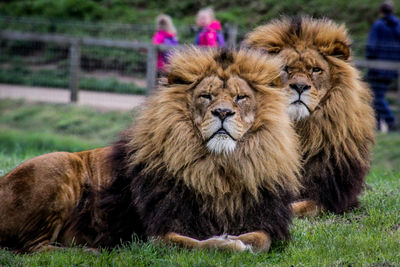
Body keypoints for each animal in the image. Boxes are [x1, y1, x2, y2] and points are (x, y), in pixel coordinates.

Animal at [0, 47, 300, 254]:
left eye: (240, 97)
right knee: (32, 248)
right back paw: (90, 251)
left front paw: (239, 240)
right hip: (58, 165)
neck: (217, 168)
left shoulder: (261, 219)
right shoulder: (156, 234)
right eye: (206, 96)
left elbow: (261, 239)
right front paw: (228, 243)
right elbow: (199, 244)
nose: (223, 112)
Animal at [244, 16, 376, 218]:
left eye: (315, 69)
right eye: (285, 68)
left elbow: (303, 205)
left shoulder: (333, 197)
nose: (299, 86)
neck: (303, 130)